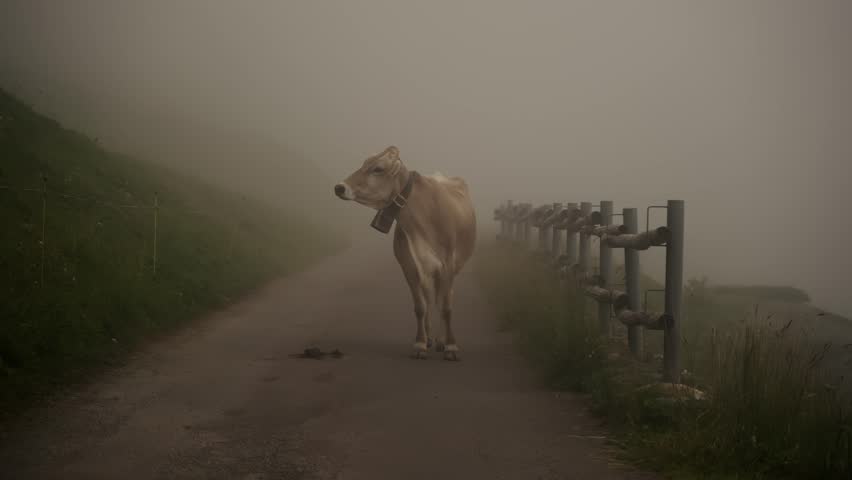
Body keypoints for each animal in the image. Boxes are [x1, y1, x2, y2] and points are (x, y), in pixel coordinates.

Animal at [334, 146, 477, 360]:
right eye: (364, 164)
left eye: (378, 169)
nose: (339, 187)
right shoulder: (409, 266)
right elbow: (420, 307)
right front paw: (420, 344)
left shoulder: (447, 265)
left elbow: (446, 307)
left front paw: (451, 346)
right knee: (430, 299)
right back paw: (431, 338)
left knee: (443, 298)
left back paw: (441, 340)